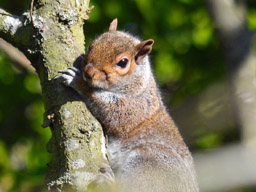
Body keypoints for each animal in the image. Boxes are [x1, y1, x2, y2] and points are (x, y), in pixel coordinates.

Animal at [56, 18, 198, 192]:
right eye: (91, 46)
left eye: (123, 62)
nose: (88, 73)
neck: (139, 83)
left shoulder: (139, 106)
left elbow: (114, 113)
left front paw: (78, 82)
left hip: (149, 163)